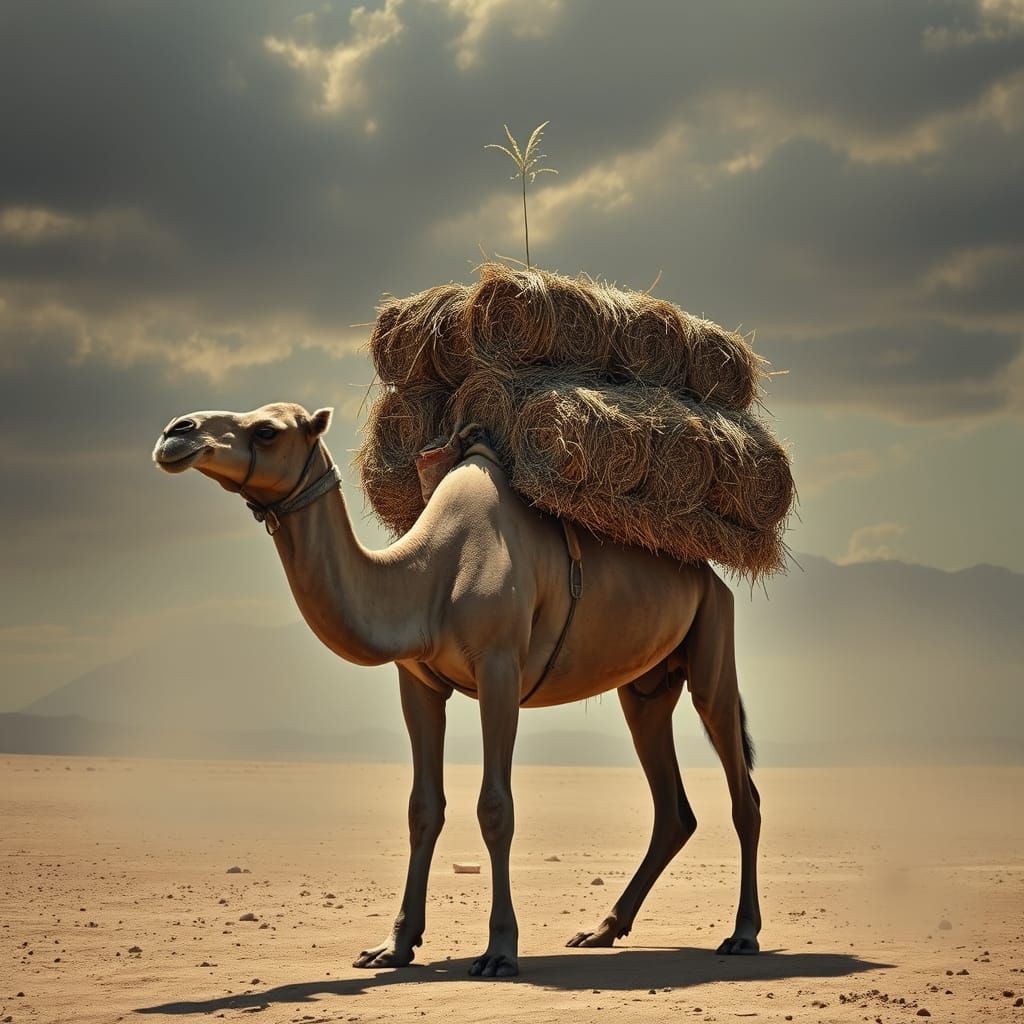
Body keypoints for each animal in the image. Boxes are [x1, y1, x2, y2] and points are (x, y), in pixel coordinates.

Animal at [152, 401, 762, 978]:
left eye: (268, 431)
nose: (175, 432)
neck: (426, 577)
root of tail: (710, 573)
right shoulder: (418, 682)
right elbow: (422, 808)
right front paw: (394, 945)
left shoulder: (499, 669)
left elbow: (495, 807)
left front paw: (499, 950)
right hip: (644, 685)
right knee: (672, 805)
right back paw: (602, 930)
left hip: (714, 634)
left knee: (742, 792)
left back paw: (742, 934)